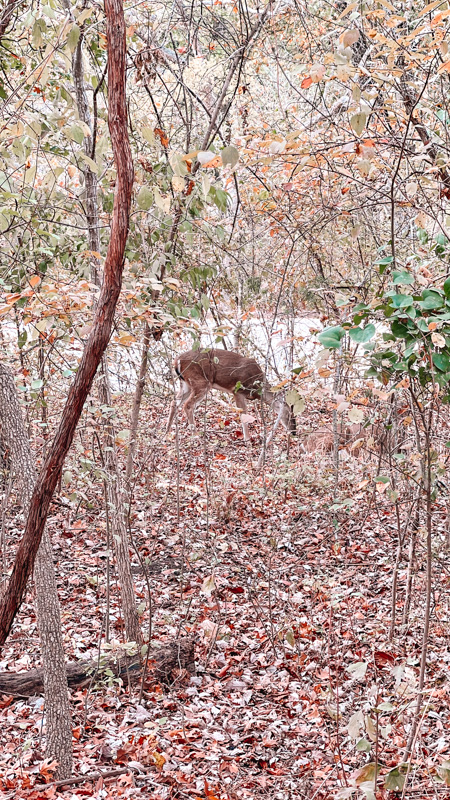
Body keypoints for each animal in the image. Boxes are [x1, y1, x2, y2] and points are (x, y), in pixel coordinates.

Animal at [165, 346, 296, 444]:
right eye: (289, 415)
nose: (294, 432)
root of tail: (177, 361)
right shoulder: (237, 391)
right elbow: (243, 414)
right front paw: (247, 440)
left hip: (185, 383)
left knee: (174, 401)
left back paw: (167, 432)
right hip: (201, 382)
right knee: (188, 405)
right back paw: (196, 436)